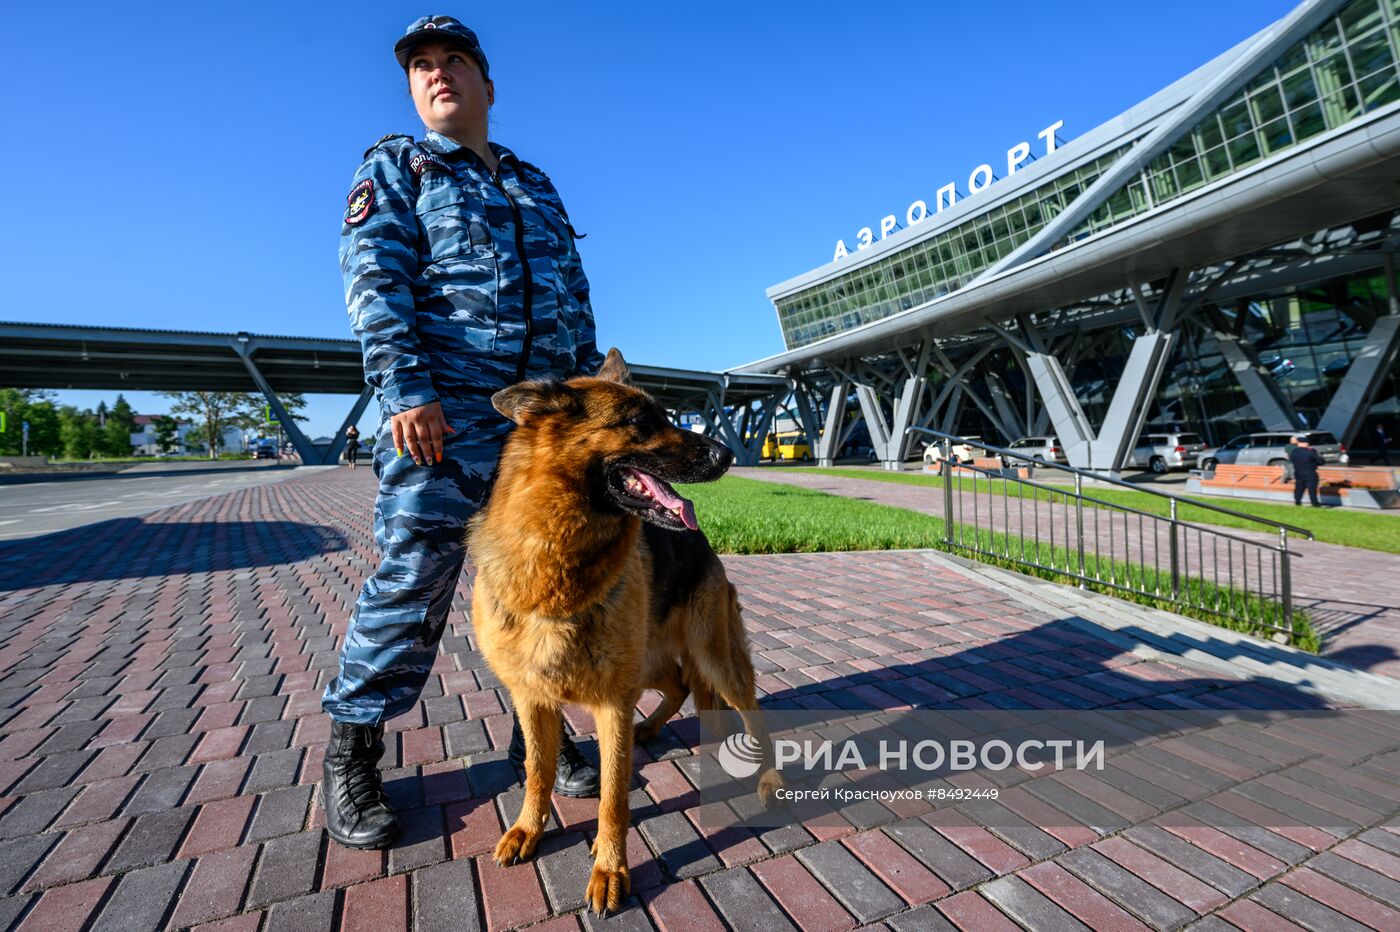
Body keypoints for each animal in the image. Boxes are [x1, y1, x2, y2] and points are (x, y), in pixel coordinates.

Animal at [467, 347, 778, 906]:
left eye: (668, 416)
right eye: (640, 423)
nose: (728, 455)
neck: (558, 558)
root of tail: (703, 542)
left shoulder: (611, 701)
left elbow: (613, 794)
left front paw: (610, 868)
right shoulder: (532, 697)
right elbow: (537, 770)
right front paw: (528, 829)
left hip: (717, 662)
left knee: (750, 713)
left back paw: (770, 780)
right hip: (649, 662)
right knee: (679, 685)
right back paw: (650, 728)